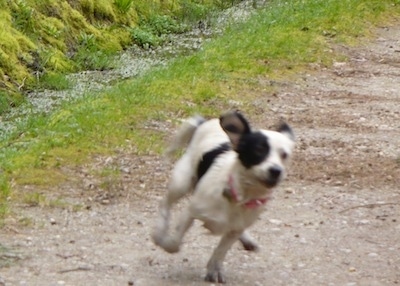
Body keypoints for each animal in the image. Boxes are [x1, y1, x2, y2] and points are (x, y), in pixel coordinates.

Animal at [152, 110, 296, 282]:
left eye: (284, 155)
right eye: (258, 150)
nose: (276, 170)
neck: (238, 196)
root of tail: (203, 123)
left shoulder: (234, 231)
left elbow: (221, 251)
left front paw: (214, 270)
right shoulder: (190, 213)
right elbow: (175, 242)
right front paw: (167, 243)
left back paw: (247, 239)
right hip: (181, 182)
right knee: (165, 204)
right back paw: (160, 231)